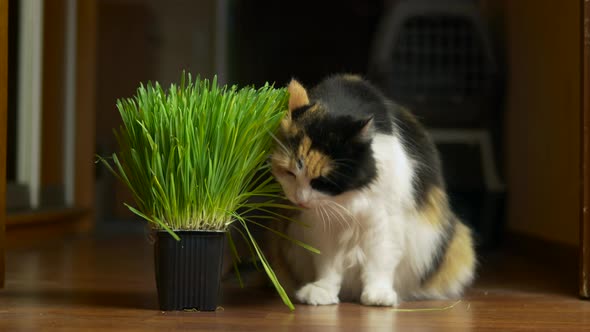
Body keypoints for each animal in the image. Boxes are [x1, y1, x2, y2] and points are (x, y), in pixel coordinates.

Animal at [270, 73, 478, 306]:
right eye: (290, 173)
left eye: (322, 182)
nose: (300, 199)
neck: (348, 201)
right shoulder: (322, 227)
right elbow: (327, 266)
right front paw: (322, 292)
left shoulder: (385, 222)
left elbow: (380, 262)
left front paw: (378, 296)